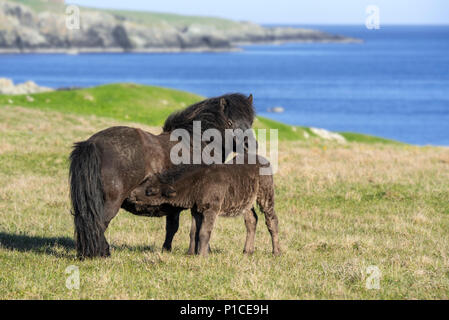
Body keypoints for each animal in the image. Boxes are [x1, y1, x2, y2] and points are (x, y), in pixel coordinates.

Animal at [68, 94, 254, 258]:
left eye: (251, 122)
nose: (250, 145)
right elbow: (194, 228)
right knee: (98, 224)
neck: (197, 143)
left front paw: (167, 250)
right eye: (230, 122)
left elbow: (172, 227)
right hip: (110, 203)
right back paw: (102, 253)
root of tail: (92, 143)